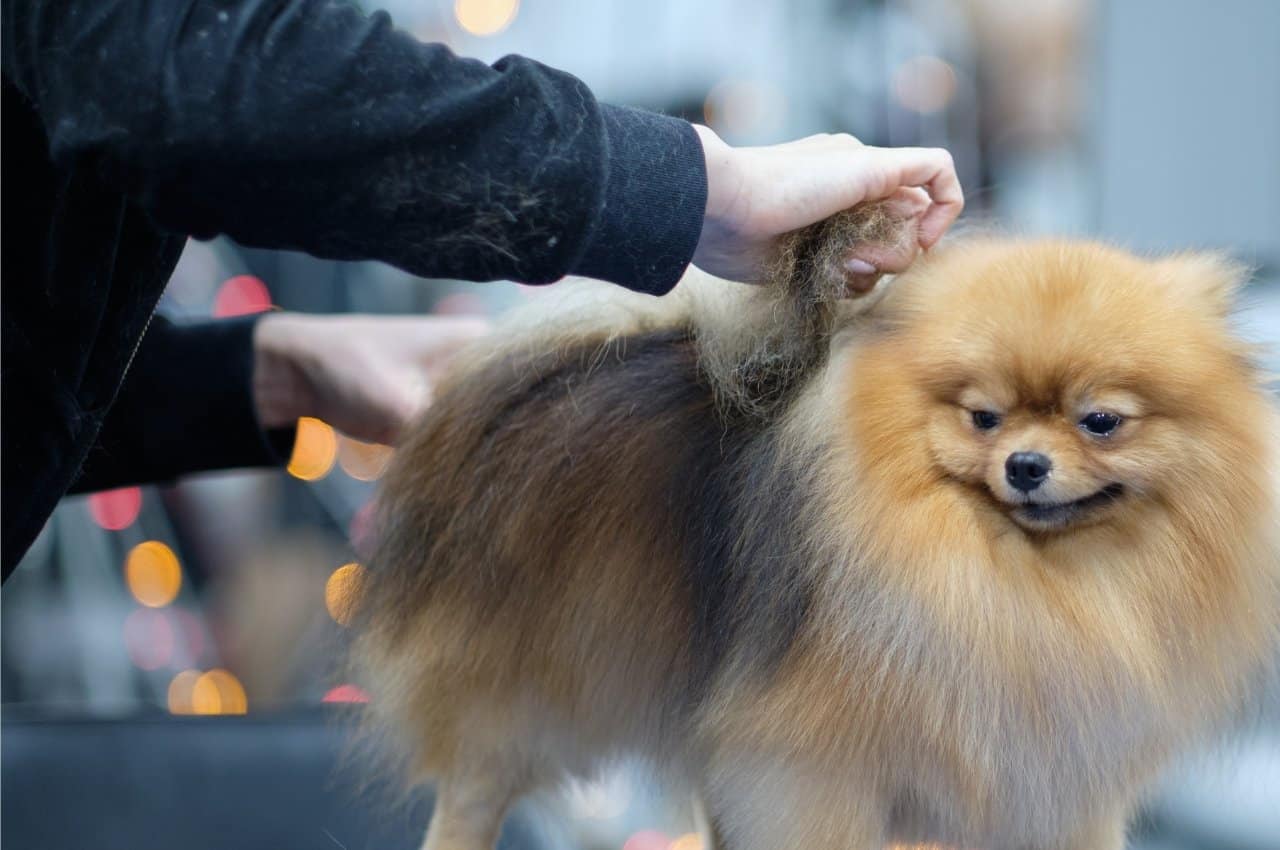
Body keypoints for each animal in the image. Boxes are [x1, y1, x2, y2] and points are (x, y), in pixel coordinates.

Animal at [353, 207, 1280, 850]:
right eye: (982, 417)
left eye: (1101, 422)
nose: (1024, 464)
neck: (1021, 585)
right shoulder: (810, 771)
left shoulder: (1055, 782)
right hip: (517, 689)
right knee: (473, 790)